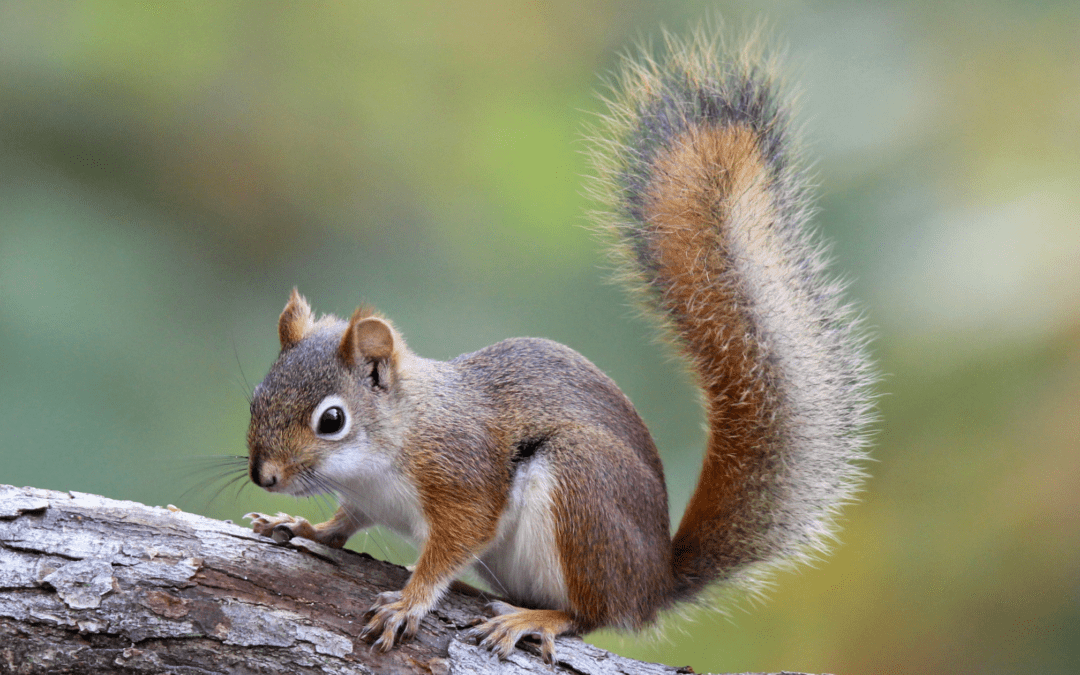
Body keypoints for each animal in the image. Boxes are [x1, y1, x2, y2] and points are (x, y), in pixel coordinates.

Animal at [243, 29, 875, 665]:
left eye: (332, 420)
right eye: (256, 397)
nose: (264, 476)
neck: (392, 442)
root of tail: (653, 583)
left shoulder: (462, 478)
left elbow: (451, 547)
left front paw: (408, 602)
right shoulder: (367, 499)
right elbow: (344, 523)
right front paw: (301, 527)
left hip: (580, 489)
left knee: (593, 613)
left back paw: (536, 617)